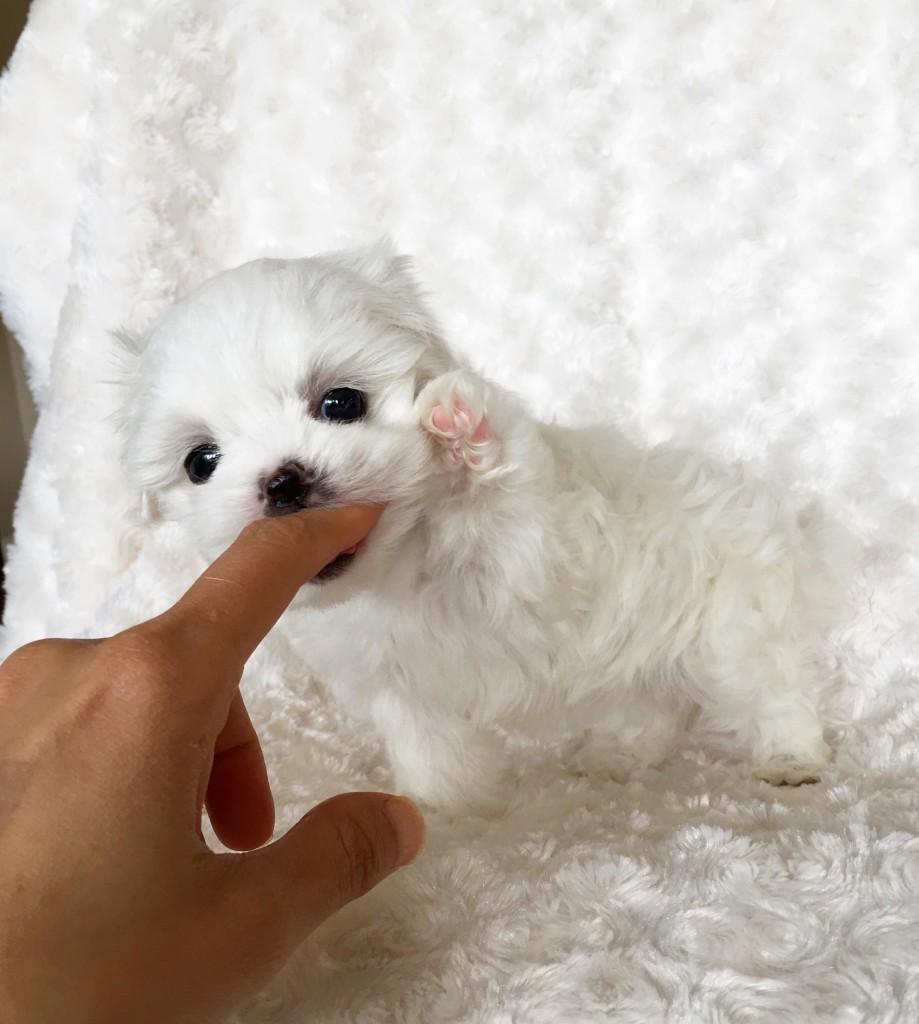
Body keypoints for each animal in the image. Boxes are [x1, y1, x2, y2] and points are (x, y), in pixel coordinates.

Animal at [118, 243, 844, 811]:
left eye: (341, 403)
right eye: (201, 462)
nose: (283, 481)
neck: (398, 569)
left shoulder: (533, 561)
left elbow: (505, 509)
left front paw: (460, 429)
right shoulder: (398, 684)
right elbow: (429, 750)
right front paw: (448, 815)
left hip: (733, 619)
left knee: (768, 686)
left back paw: (790, 759)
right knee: (652, 704)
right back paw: (617, 753)